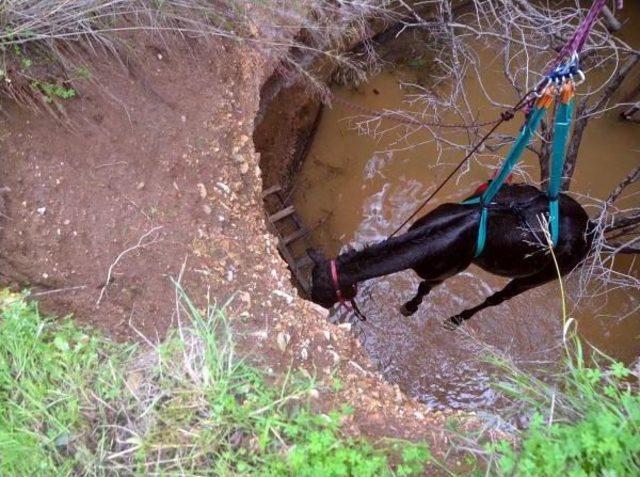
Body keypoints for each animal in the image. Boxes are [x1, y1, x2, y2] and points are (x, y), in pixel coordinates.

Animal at [308, 182, 592, 328]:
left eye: (322, 292)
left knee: (501, 297)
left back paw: (456, 320)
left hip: (549, 272)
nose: (311, 304)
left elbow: (424, 287)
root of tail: (589, 226)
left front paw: (409, 308)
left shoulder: (448, 270)